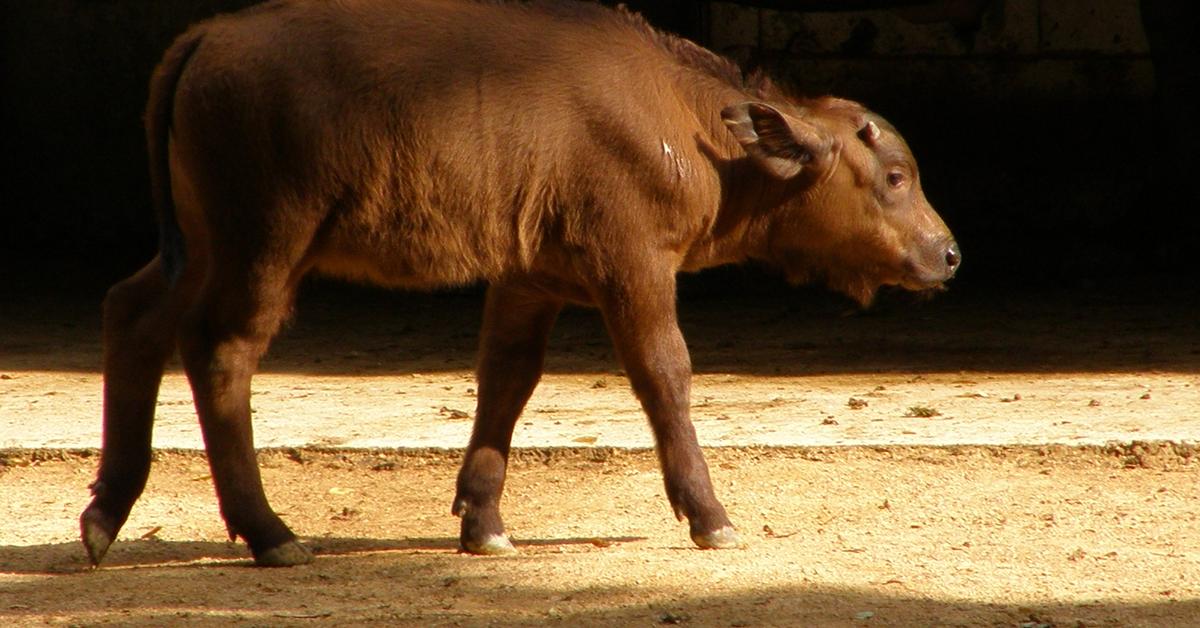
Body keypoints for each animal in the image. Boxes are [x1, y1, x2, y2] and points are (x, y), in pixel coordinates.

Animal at [82, 0, 955, 569]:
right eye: (894, 175)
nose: (947, 254)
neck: (692, 128)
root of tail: (211, 34)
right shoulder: (633, 266)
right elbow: (664, 374)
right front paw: (710, 516)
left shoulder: (531, 280)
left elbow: (506, 379)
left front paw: (484, 521)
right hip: (263, 248)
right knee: (223, 354)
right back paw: (269, 533)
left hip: (198, 248)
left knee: (132, 316)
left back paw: (106, 514)